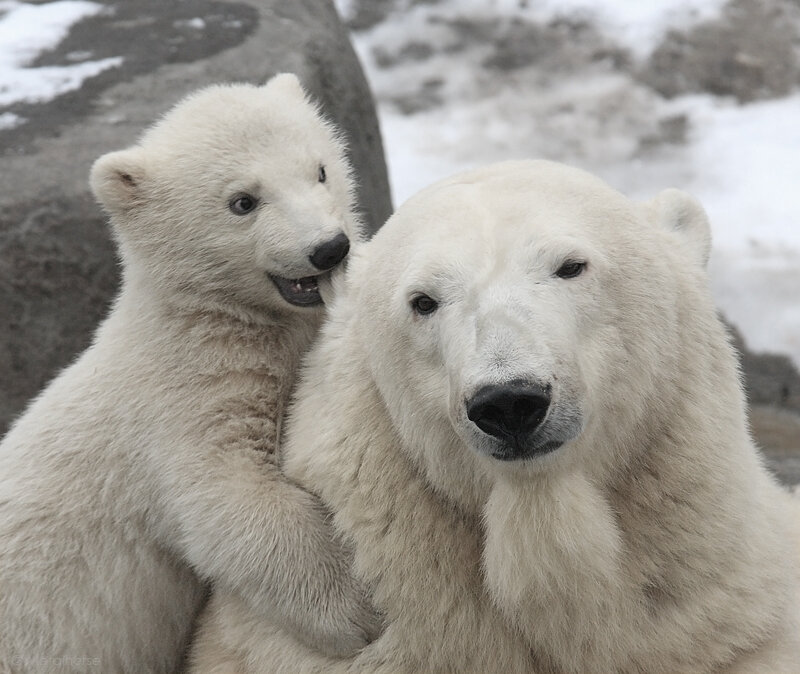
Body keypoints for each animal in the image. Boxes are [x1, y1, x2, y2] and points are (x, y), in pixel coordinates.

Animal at [0, 74, 381, 674]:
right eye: (242, 201)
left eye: (320, 169)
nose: (329, 248)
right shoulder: (180, 396)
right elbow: (223, 493)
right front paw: (355, 609)